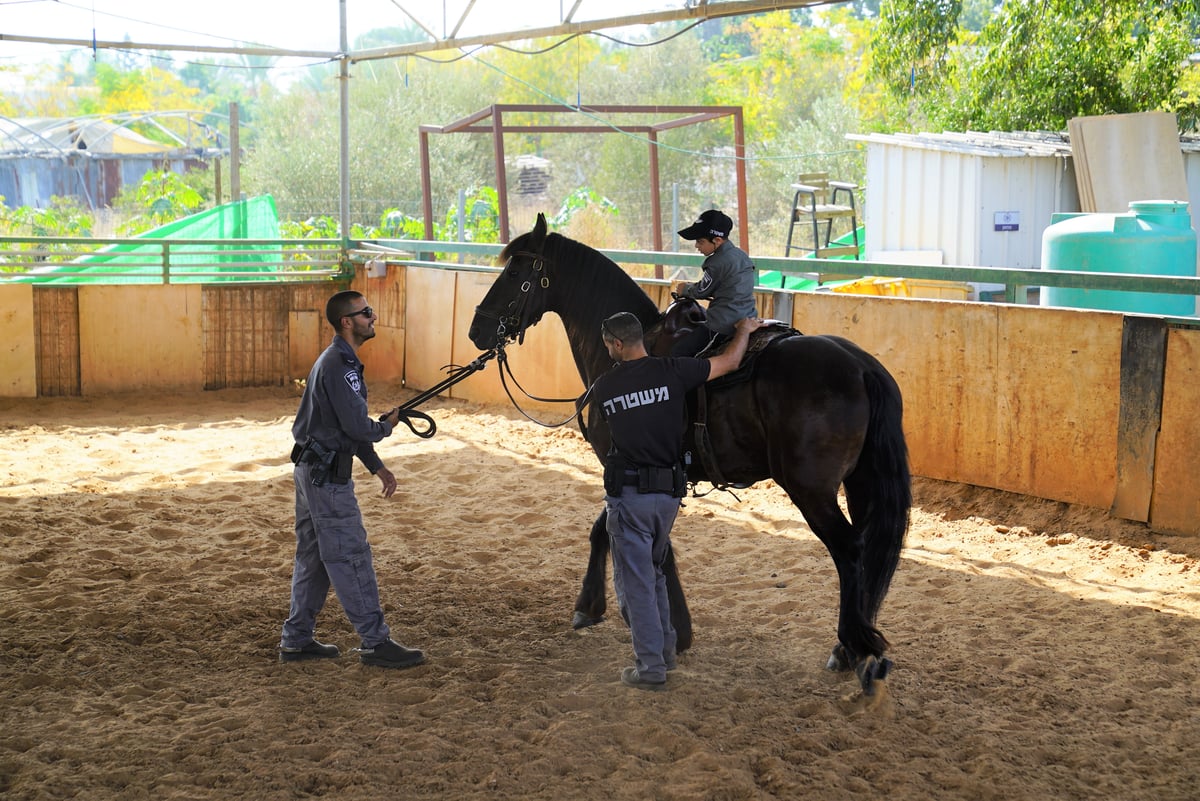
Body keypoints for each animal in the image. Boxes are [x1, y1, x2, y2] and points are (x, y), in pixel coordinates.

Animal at [468, 212, 907, 695]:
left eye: (514, 272)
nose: (477, 330)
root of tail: (860, 365)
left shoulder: (619, 463)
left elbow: (608, 532)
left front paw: (600, 608)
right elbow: (644, 541)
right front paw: (672, 628)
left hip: (811, 490)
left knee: (849, 550)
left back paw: (853, 648)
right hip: (857, 482)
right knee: (865, 550)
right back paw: (850, 646)